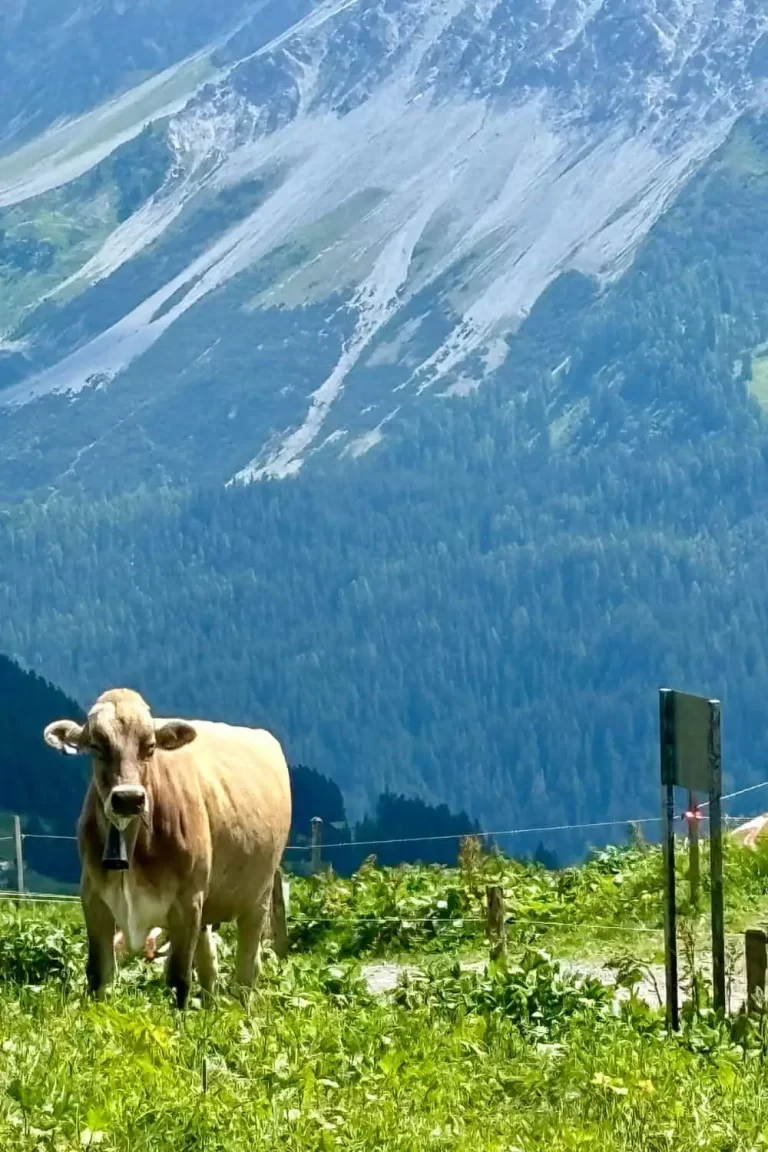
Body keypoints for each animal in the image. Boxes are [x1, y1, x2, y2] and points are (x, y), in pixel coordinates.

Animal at [43, 686, 292, 1004]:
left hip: (258, 894)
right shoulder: (93, 898)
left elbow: (178, 978)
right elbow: (99, 973)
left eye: (150, 747)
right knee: (209, 964)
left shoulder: (187, 901)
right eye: (97, 746)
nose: (128, 798)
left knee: (247, 968)